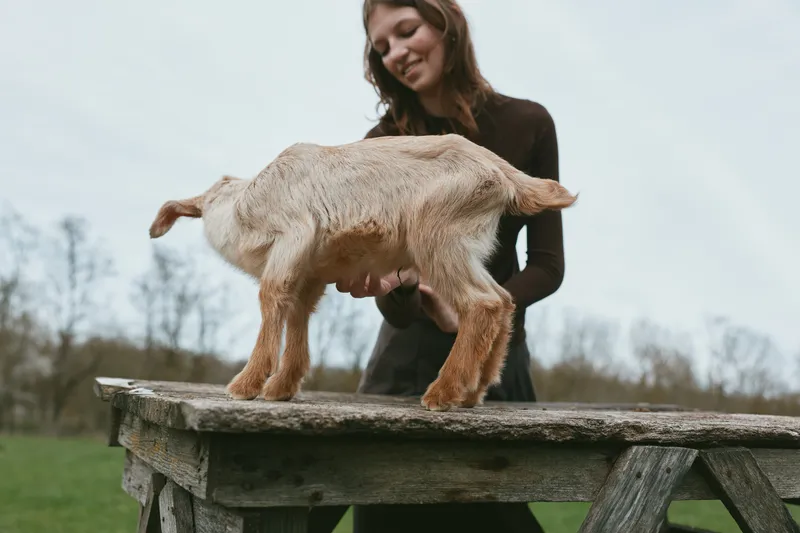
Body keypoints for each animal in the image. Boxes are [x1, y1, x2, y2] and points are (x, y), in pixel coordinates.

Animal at [148, 133, 578, 411]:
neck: (242, 205)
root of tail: (505, 174)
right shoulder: (312, 270)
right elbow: (298, 313)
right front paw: (282, 387)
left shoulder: (292, 235)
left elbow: (272, 298)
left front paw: (247, 384)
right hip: (464, 245)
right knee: (504, 300)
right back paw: (473, 393)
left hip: (437, 235)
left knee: (482, 302)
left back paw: (443, 393)